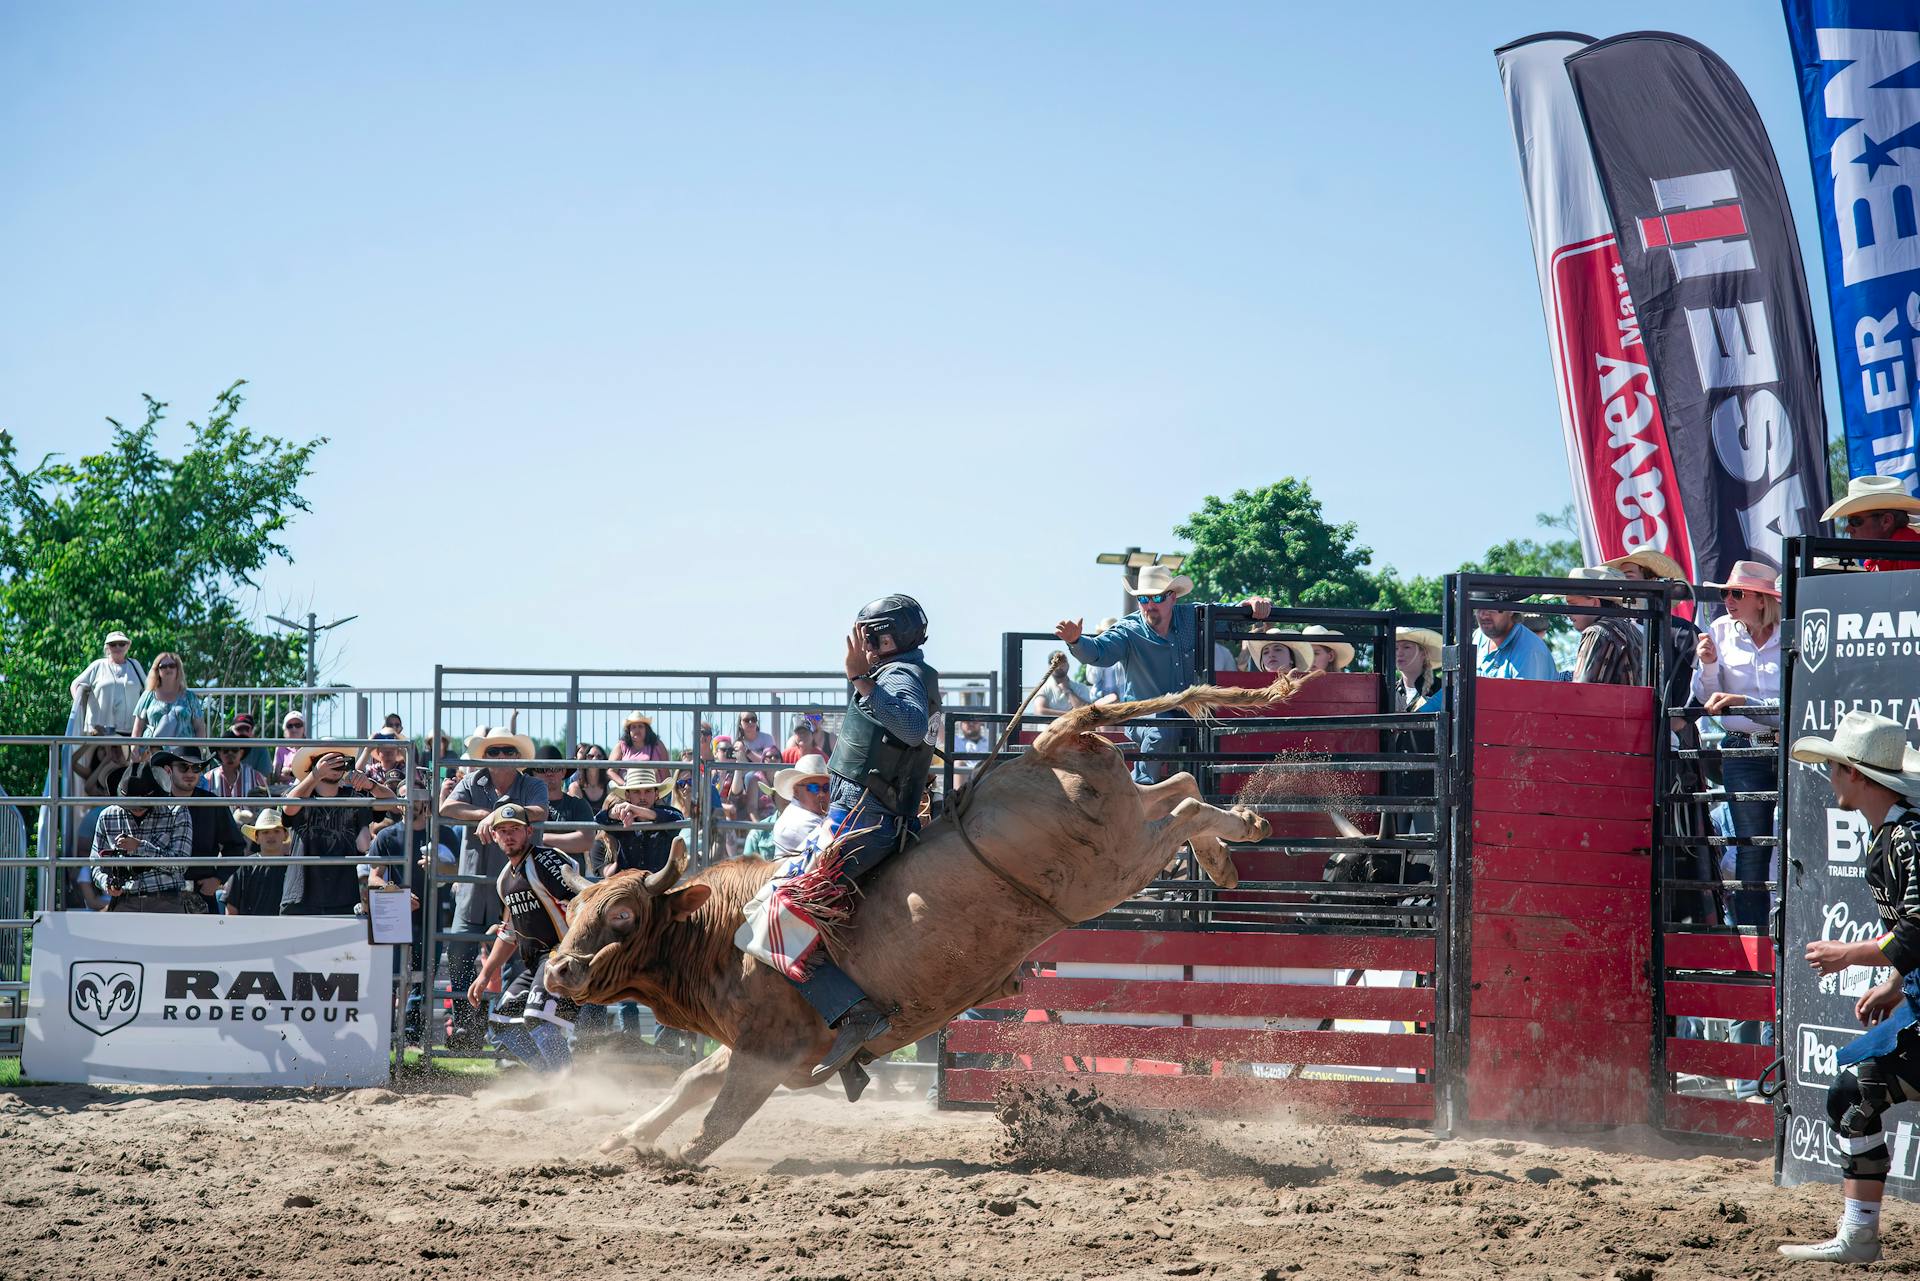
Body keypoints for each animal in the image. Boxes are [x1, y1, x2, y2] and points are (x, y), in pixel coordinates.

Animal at [549, 676, 1297, 1167]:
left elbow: (720, 1115)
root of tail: (1046, 745)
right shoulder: (753, 1047)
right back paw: (1231, 845)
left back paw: (1235, 836)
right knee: (1183, 789)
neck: (722, 937)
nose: (557, 970)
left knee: (1186, 807)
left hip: (1109, 866)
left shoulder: (774, 1051)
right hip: (1122, 823)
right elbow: (691, 1081)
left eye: (622, 913)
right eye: (573, 909)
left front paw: (667, 1157)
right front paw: (625, 1136)